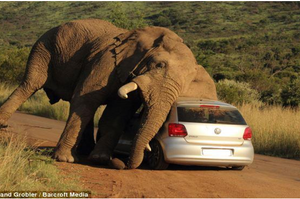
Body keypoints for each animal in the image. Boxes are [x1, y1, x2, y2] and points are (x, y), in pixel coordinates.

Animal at [0, 18, 217, 169]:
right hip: (44, 47)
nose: (120, 163)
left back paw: (85, 152)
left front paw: (100, 159)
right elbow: (86, 99)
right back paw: (3, 125)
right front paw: (65, 159)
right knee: (30, 85)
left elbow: (118, 112)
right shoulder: (107, 61)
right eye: (159, 65)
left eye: (187, 82)